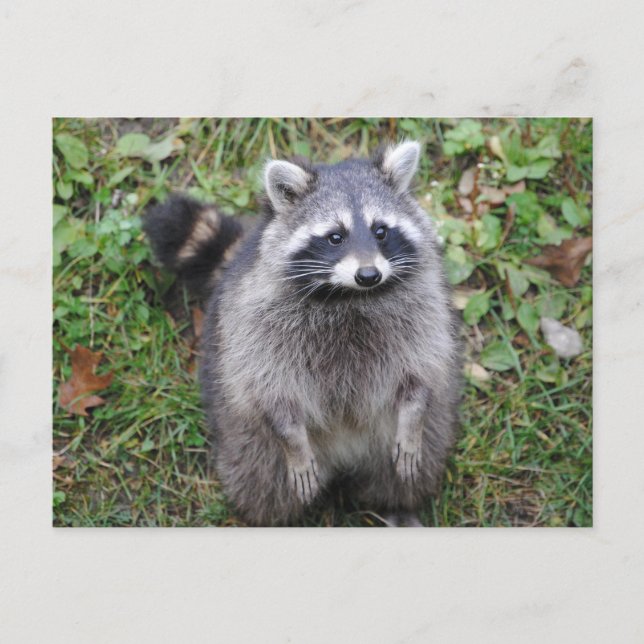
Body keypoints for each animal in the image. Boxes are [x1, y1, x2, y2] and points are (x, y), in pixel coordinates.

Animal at [144, 141, 462, 526]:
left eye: (381, 231)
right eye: (335, 237)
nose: (369, 275)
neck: (348, 296)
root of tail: (344, 457)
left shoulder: (423, 306)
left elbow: (422, 369)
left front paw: (412, 416)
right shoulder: (255, 321)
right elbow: (270, 386)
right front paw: (291, 436)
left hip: (420, 433)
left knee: (408, 467)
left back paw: (397, 503)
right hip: (247, 437)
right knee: (261, 482)